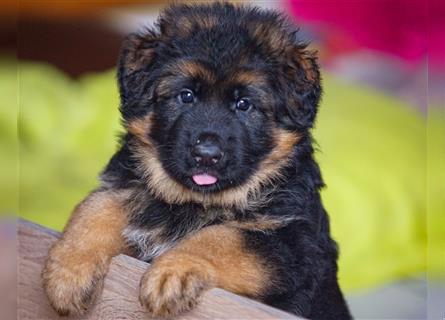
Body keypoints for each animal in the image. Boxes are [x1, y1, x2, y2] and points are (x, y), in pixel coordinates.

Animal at [43, 3, 352, 320]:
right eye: (186, 96)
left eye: (244, 104)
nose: (206, 155)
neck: (194, 202)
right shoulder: (129, 186)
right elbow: (97, 206)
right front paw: (68, 271)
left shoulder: (293, 244)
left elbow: (222, 237)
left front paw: (173, 271)